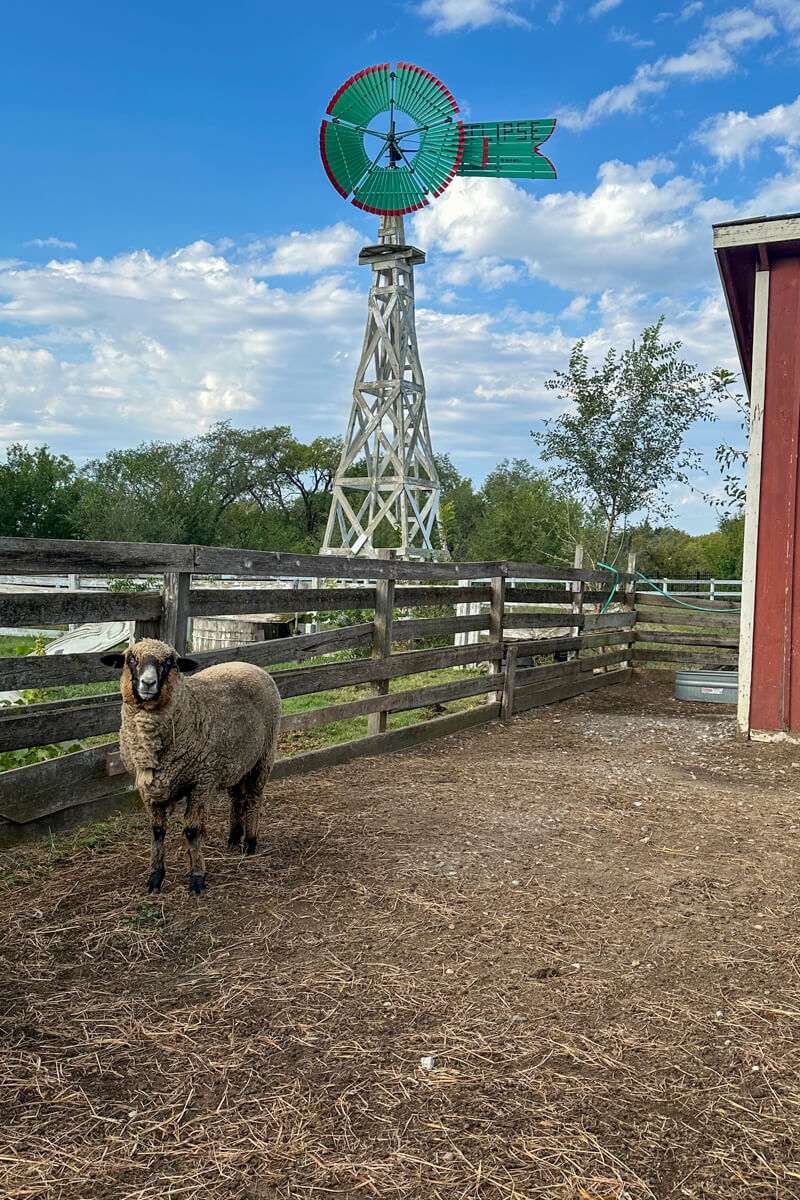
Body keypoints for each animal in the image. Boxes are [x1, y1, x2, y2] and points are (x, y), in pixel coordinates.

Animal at [101, 638, 281, 895]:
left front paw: (197, 878)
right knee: (236, 797)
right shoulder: (148, 788)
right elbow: (157, 832)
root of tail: (248, 665)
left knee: (253, 798)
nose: (148, 683)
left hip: (263, 757)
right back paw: (233, 838)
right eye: (131, 659)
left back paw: (249, 842)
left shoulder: (201, 782)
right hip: (236, 761)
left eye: (170, 662)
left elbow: (192, 831)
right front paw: (155, 877)